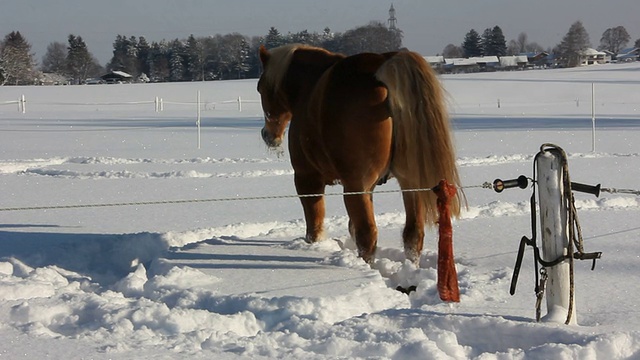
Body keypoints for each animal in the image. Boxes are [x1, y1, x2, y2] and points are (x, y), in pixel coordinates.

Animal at [258, 44, 462, 264]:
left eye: (260, 88)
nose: (267, 135)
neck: (307, 88)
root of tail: (382, 63)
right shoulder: (370, 188)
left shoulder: (307, 179)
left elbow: (315, 224)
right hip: (410, 183)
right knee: (412, 234)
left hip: (356, 186)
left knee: (368, 234)